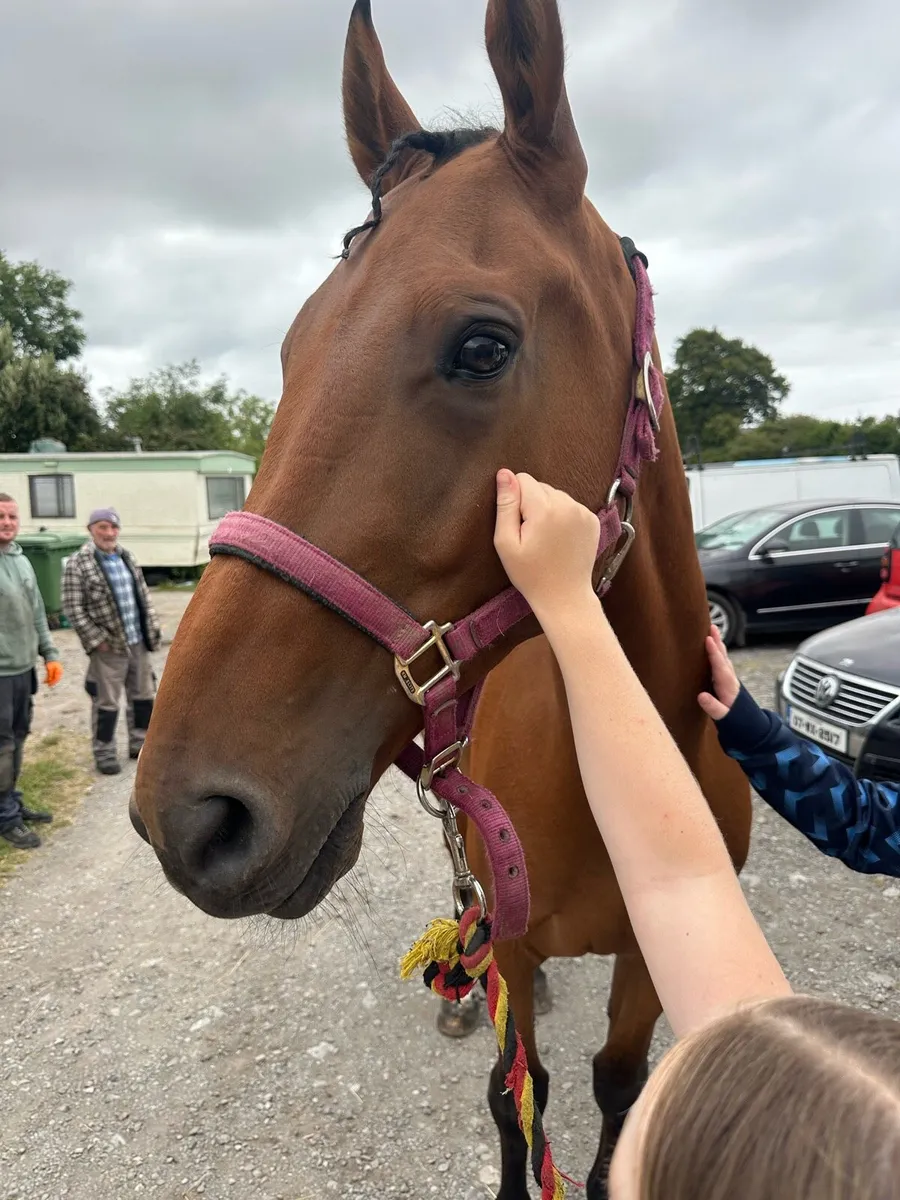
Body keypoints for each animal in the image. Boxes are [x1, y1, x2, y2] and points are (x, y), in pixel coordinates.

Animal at [131, 1, 751, 1195]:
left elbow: (614, 1092)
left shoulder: (655, 965)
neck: (637, 759)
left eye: (481, 345)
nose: (187, 816)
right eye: (292, 348)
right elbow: (521, 1094)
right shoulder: (513, 938)